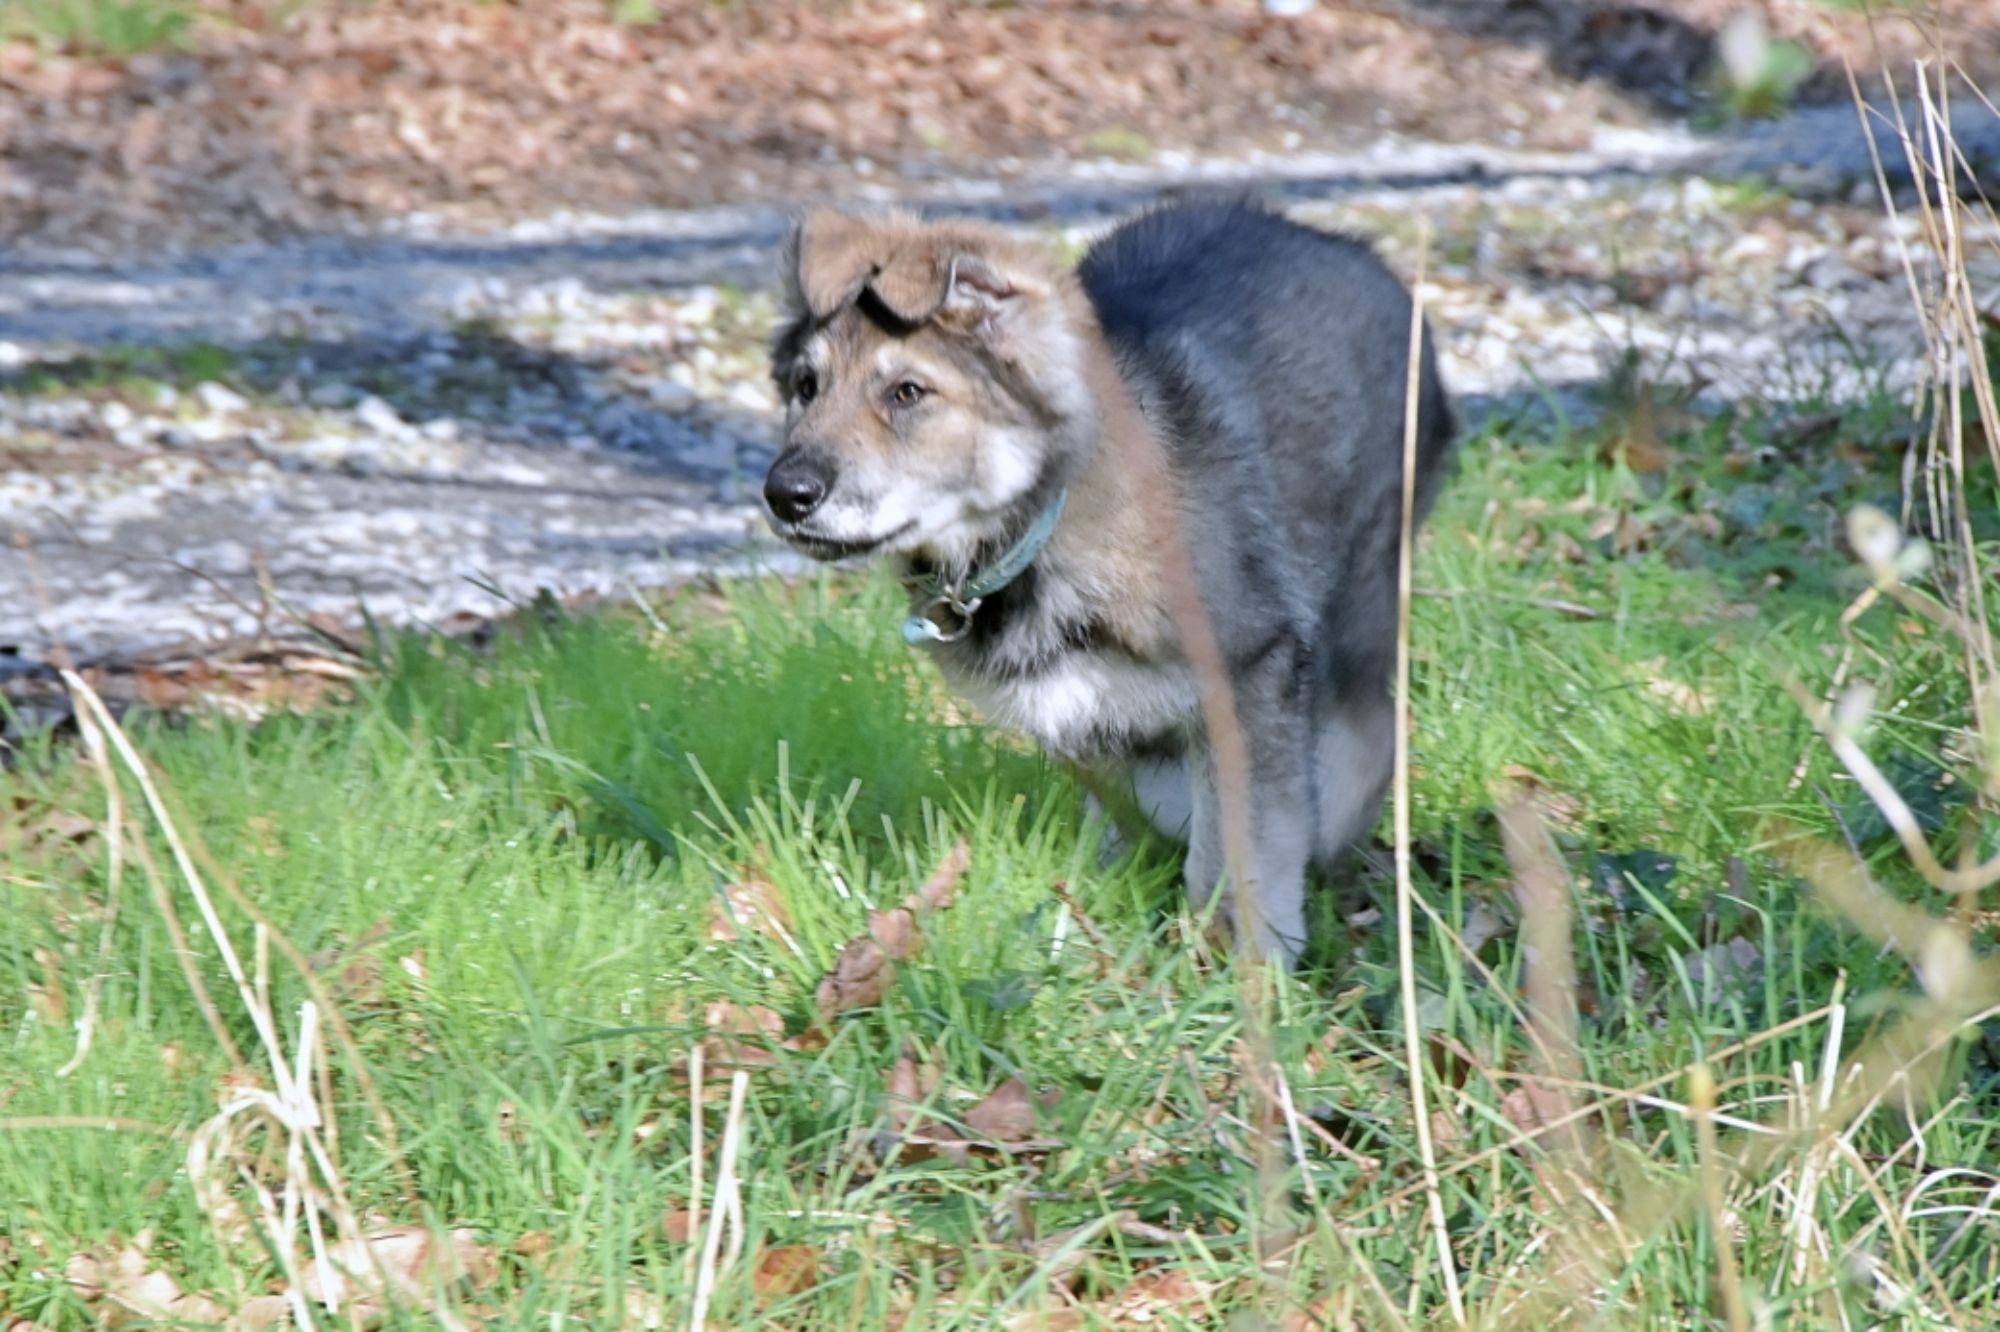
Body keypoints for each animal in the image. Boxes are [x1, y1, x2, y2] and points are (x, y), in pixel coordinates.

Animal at [761, 199, 1455, 967]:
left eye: (907, 393)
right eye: (805, 388)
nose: (784, 494)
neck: (1042, 526)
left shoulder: (1252, 671)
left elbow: (1247, 838)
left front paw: (1248, 962)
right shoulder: (1076, 710)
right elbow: (1141, 806)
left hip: (1360, 609)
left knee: (1358, 755)